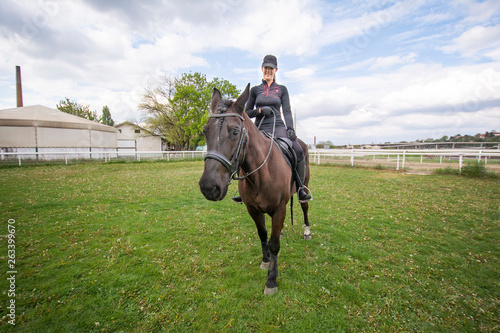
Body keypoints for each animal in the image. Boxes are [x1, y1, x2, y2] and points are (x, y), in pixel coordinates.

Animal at [198, 84, 308, 294]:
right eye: (205, 131)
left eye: (235, 132)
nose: (209, 187)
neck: (261, 174)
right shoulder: (253, 209)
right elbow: (263, 235)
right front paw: (266, 261)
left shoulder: (279, 209)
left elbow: (274, 244)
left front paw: (271, 280)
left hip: (303, 191)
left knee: (305, 207)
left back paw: (307, 231)